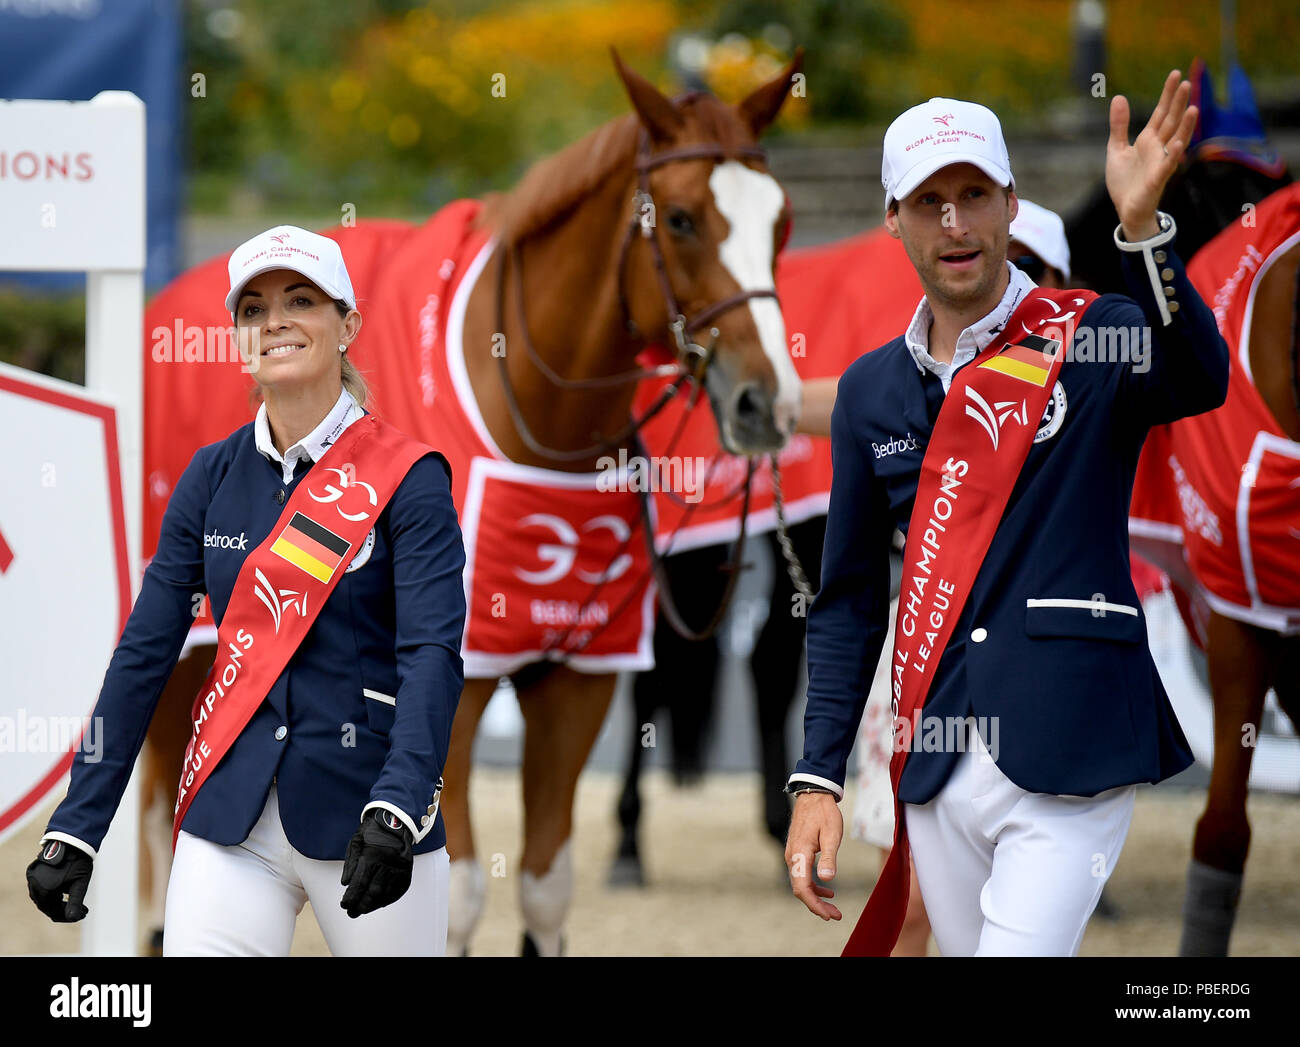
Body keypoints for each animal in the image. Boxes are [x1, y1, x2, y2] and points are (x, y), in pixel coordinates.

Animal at [131, 51, 800, 957]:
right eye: (685, 219)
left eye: (783, 223)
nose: (770, 404)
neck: (531, 415)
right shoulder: (460, 681)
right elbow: (459, 896)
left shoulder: (576, 679)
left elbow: (546, 887)